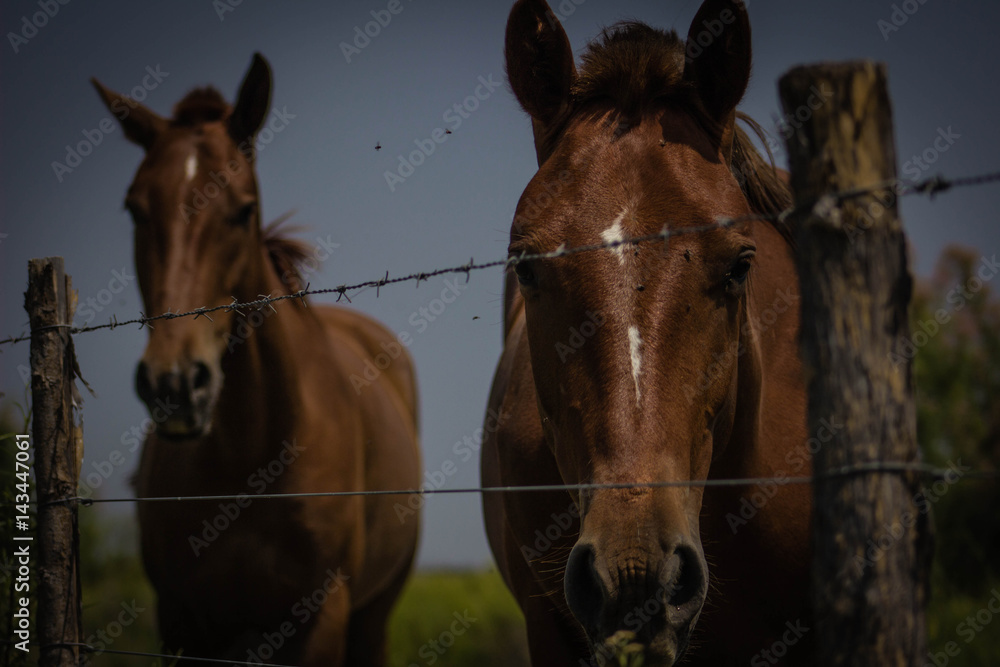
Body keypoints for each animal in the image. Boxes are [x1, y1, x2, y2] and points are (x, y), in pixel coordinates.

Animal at [92, 54, 421, 666]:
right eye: (134, 209)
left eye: (243, 211)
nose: (175, 384)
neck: (249, 459)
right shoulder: (182, 621)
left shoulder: (321, 616)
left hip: (374, 616)